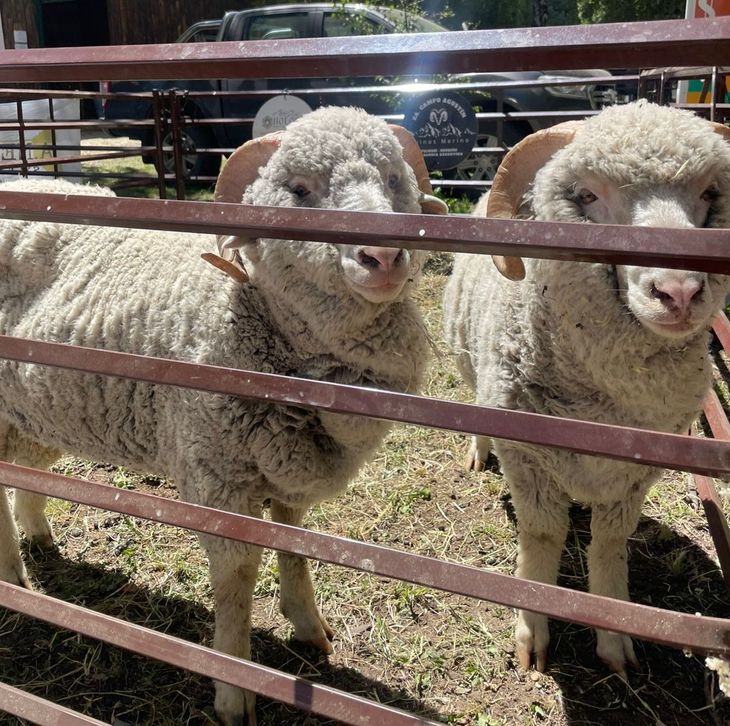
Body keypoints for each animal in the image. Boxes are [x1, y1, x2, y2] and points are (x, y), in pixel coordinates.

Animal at [0, 104, 446, 726]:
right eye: (300, 189)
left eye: (394, 180)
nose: (382, 256)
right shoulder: (218, 477)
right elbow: (236, 579)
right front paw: (235, 688)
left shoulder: (288, 469)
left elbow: (294, 544)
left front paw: (308, 626)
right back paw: (11, 574)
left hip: (41, 406)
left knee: (26, 468)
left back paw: (37, 537)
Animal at [440, 101, 728, 684]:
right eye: (589, 196)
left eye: (710, 193)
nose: (679, 292)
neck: (604, 404)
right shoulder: (529, 461)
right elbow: (543, 538)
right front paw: (532, 634)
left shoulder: (635, 476)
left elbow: (611, 543)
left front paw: (614, 638)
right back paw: (478, 452)